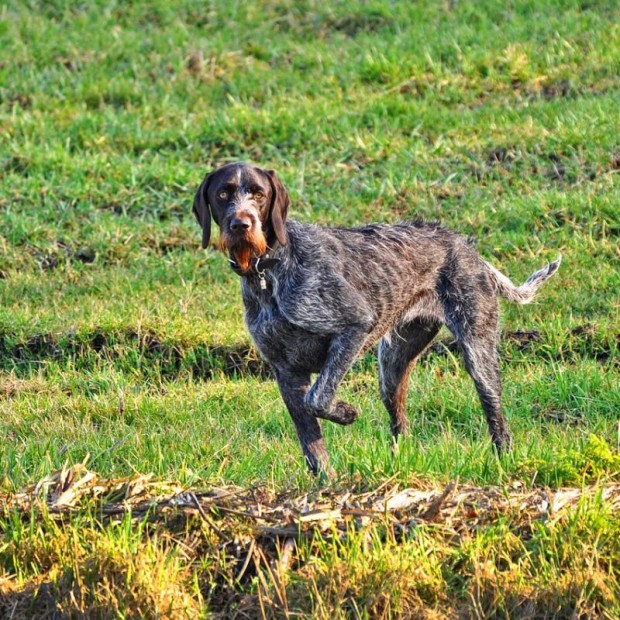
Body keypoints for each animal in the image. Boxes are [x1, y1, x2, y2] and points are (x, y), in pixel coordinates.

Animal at [194, 161, 560, 474]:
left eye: (259, 194)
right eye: (223, 194)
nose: (240, 224)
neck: (267, 273)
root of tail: (464, 246)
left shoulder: (354, 326)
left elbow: (319, 399)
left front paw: (345, 412)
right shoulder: (285, 371)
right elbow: (312, 443)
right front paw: (327, 487)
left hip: (477, 353)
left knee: (495, 416)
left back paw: (504, 459)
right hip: (392, 367)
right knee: (400, 425)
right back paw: (399, 463)